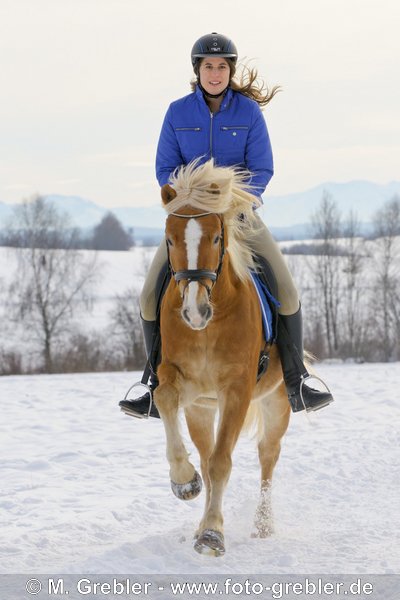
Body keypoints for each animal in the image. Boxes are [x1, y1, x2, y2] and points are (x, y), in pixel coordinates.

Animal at [154, 157, 290, 556]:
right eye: (170, 239)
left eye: (216, 237)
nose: (194, 311)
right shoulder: (182, 383)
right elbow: (162, 397)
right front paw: (184, 483)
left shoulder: (237, 390)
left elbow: (221, 464)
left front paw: (213, 535)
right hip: (201, 409)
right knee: (206, 453)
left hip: (277, 402)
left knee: (267, 455)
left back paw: (262, 527)